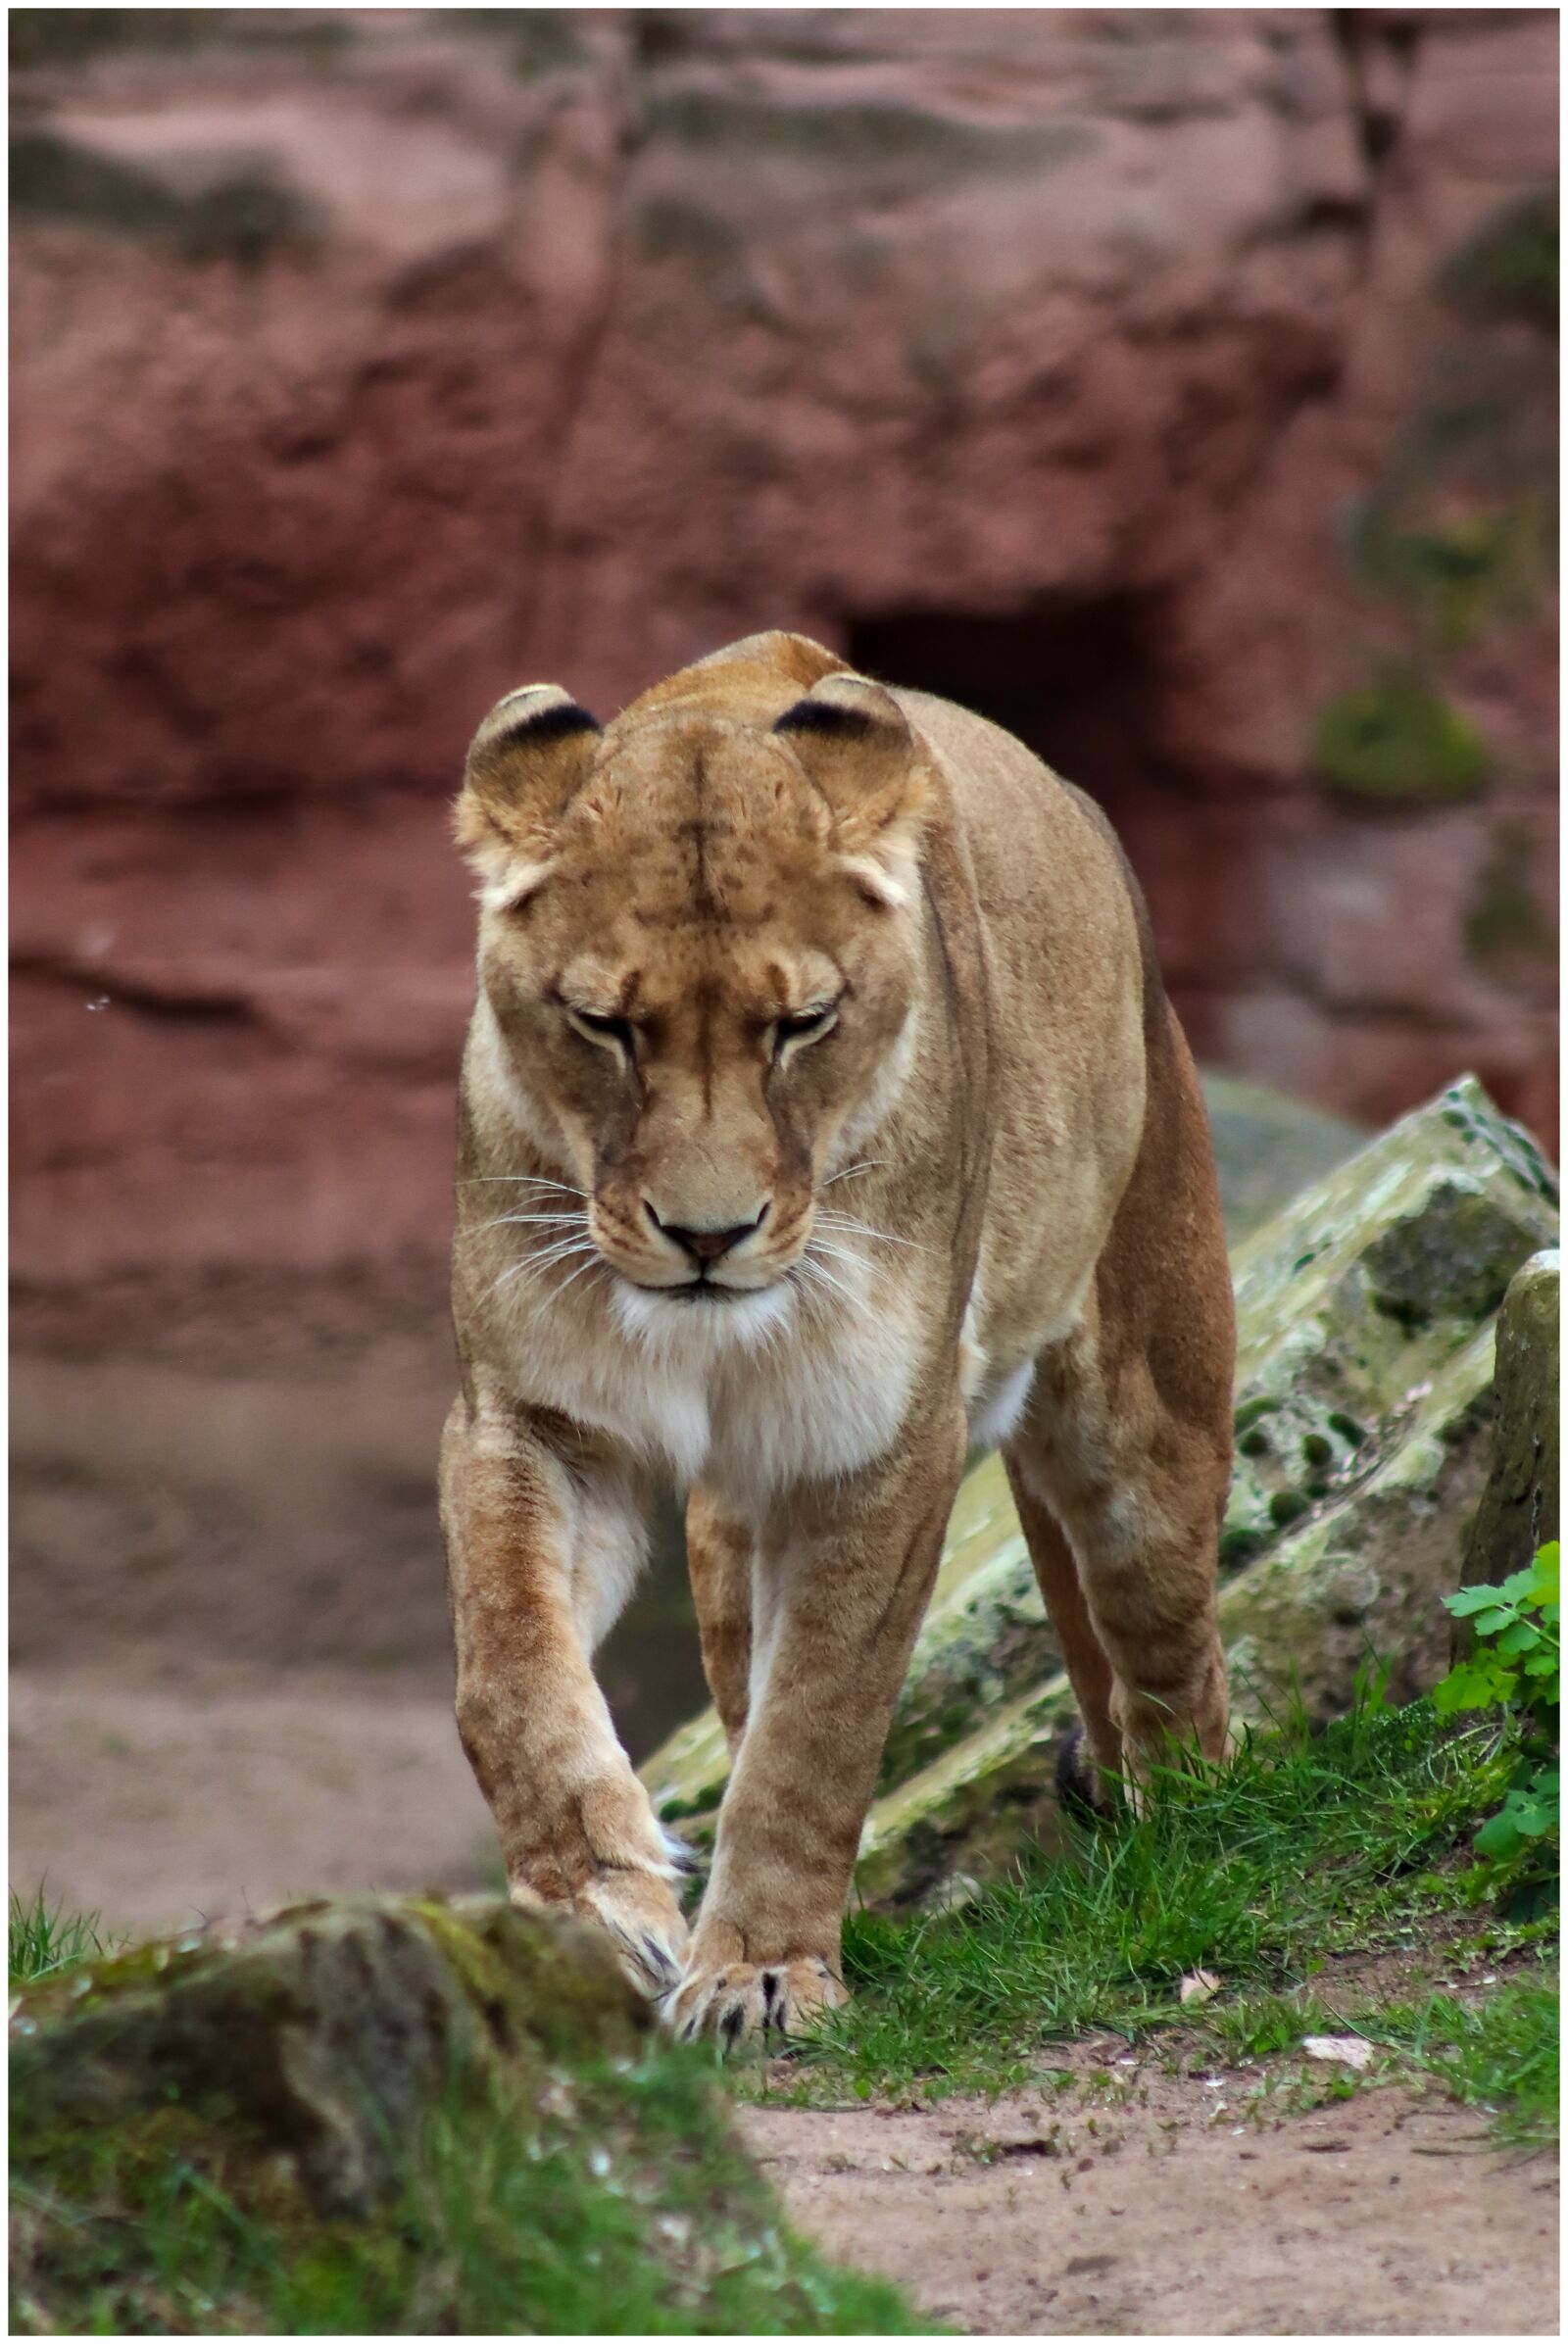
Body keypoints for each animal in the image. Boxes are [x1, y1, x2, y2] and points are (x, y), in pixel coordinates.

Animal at [441, 629, 1234, 2045]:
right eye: (604, 1025)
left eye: (800, 1025)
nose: (707, 1236)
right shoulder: (536, 1410)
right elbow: (511, 1670)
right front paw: (596, 1902)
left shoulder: (876, 1440)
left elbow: (818, 1725)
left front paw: (761, 1970)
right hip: (728, 1532)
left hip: (1150, 1415)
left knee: (1168, 1649)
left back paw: (1189, 1846)